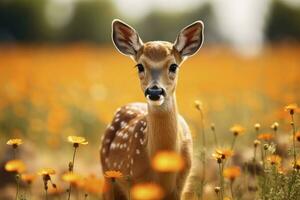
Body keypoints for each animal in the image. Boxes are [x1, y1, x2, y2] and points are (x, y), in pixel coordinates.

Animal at [100, 19, 204, 200]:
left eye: (173, 66)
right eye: (139, 66)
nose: (155, 91)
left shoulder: (180, 185)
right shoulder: (134, 180)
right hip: (108, 176)